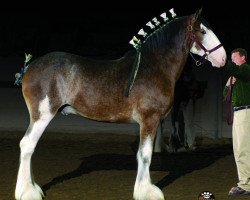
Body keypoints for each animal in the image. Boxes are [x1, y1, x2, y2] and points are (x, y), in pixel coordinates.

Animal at [15, 8, 227, 200]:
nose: (223, 58)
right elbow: (145, 155)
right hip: (42, 115)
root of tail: (30, 67)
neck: (154, 67)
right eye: (203, 31)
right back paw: (27, 192)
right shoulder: (149, 120)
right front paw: (146, 192)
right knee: (27, 145)